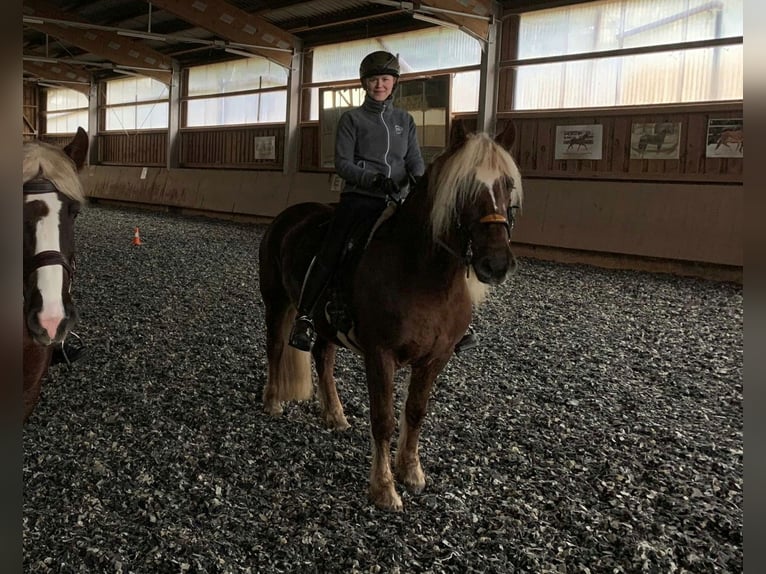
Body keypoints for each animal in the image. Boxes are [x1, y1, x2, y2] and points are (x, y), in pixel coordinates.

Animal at [258, 121, 523, 511]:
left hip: (324, 324)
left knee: (323, 357)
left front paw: (411, 472)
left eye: (507, 185)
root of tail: (289, 216)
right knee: (276, 347)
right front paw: (383, 488)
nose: (496, 264)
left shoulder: (436, 357)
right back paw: (273, 401)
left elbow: (415, 411)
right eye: (463, 187)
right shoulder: (379, 354)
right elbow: (383, 418)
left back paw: (334, 415)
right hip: (277, 303)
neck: (423, 275)